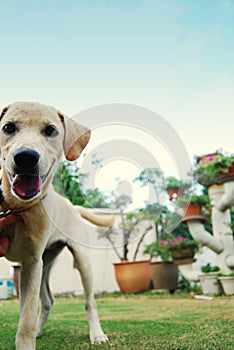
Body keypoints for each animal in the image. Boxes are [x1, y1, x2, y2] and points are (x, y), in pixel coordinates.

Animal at [0, 102, 113, 350]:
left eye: (50, 130)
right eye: (8, 127)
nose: (26, 157)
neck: (16, 206)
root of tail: (71, 205)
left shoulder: (31, 262)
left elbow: (25, 321)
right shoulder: (32, 265)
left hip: (80, 262)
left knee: (89, 302)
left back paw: (97, 334)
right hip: (45, 264)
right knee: (48, 300)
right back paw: (40, 331)